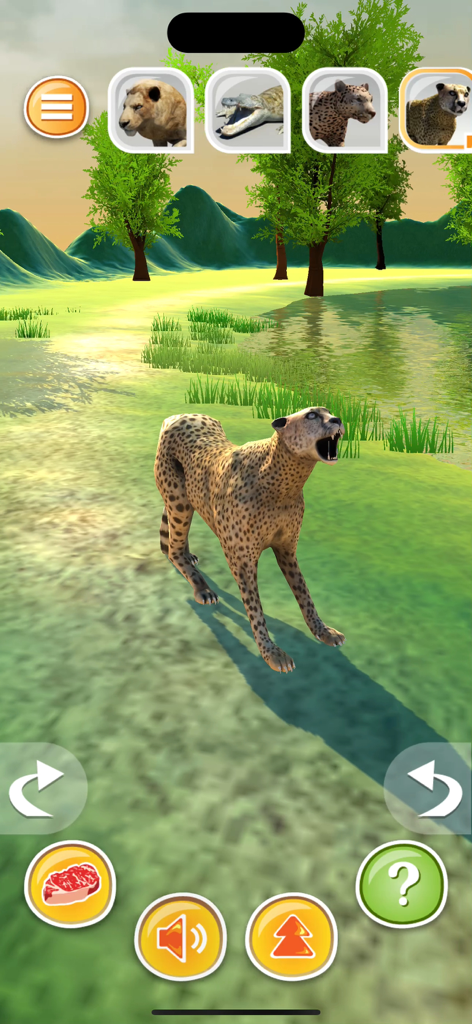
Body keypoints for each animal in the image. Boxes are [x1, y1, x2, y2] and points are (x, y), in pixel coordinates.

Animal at [154, 408, 346, 674]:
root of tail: (179, 415)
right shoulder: (242, 561)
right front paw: (272, 653)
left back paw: (190, 557)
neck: (284, 480)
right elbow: (254, 608)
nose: (338, 420)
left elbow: (304, 594)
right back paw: (201, 587)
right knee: (174, 547)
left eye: (328, 412)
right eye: (312, 415)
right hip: (179, 501)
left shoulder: (287, 550)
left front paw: (323, 630)